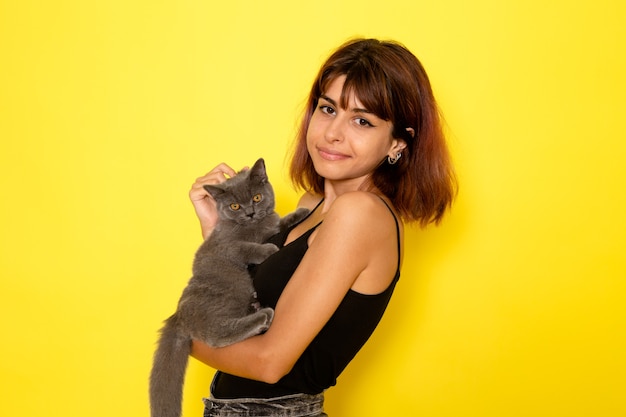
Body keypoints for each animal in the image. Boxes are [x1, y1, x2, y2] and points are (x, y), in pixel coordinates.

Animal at [149, 158, 310, 416]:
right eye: (234, 206)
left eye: (256, 197)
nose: (250, 213)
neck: (254, 227)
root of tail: (179, 315)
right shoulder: (225, 246)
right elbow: (246, 247)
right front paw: (268, 249)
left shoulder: (269, 224)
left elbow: (276, 224)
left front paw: (299, 213)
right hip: (233, 289)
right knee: (217, 336)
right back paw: (262, 316)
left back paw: (256, 308)